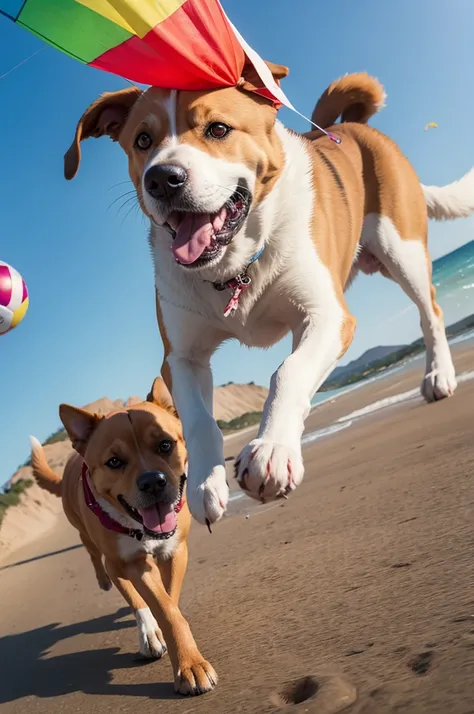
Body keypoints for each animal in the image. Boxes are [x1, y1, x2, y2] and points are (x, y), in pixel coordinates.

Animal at [28, 378, 217, 696]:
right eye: (114, 462)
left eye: (165, 444)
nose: (153, 482)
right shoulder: (131, 563)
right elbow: (161, 608)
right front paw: (188, 664)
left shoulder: (174, 551)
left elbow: (169, 599)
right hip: (96, 544)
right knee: (101, 562)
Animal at [63, 68, 474, 524]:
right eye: (142, 140)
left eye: (218, 129)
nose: (161, 178)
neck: (234, 267)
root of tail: (354, 128)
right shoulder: (182, 357)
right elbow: (198, 419)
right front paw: (205, 482)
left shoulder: (327, 317)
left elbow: (288, 373)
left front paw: (272, 451)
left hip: (400, 249)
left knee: (430, 311)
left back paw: (438, 375)